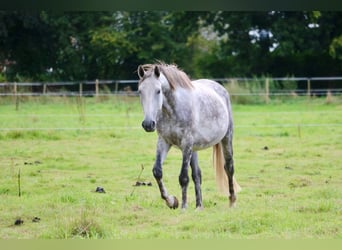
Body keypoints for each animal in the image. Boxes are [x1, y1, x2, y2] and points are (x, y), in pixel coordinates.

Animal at [137, 63, 240, 209]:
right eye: (140, 91)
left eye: (158, 91)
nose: (148, 124)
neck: (172, 110)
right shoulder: (163, 141)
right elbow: (157, 171)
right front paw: (172, 201)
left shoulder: (186, 143)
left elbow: (183, 177)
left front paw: (183, 207)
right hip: (194, 148)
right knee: (197, 174)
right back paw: (199, 206)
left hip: (226, 138)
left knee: (229, 168)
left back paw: (232, 201)